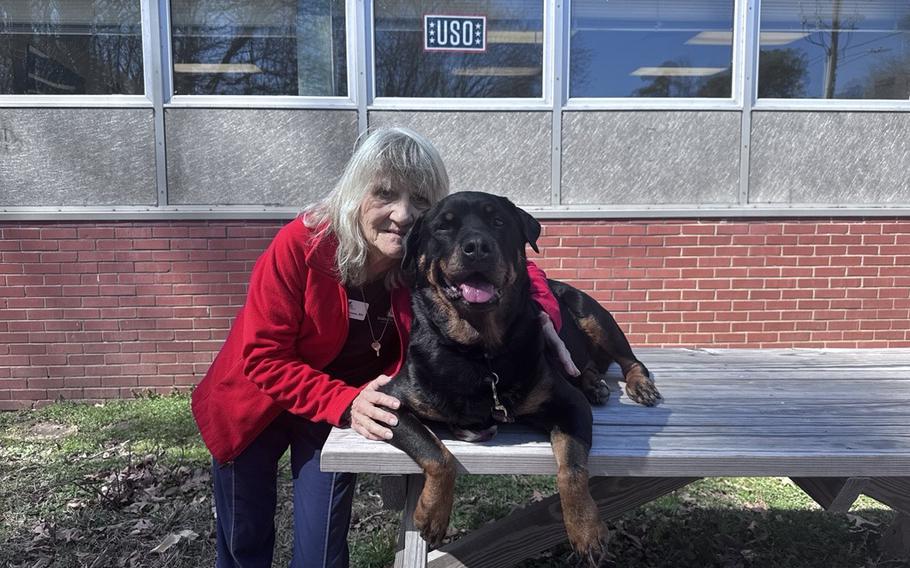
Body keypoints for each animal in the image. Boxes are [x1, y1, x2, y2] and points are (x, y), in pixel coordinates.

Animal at [378, 192, 664, 564]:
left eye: (498, 221)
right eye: (443, 226)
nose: (477, 247)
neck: (481, 353)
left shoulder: (569, 406)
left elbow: (572, 469)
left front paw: (586, 530)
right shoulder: (390, 402)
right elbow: (437, 453)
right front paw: (433, 513)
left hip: (594, 316)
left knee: (630, 360)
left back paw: (638, 385)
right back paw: (594, 385)